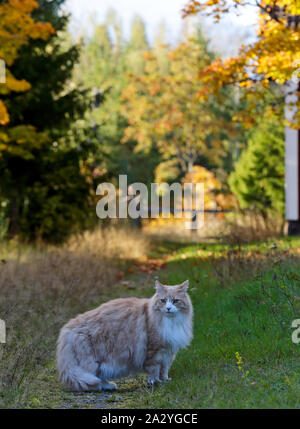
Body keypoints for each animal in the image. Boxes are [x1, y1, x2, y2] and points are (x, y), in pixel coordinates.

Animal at [56, 280, 193, 390]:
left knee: (99, 377)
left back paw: (109, 386)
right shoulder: (154, 351)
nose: (168, 308)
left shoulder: (169, 353)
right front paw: (155, 382)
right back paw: (102, 386)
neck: (170, 322)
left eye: (175, 301)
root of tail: (67, 329)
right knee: (91, 379)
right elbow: (154, 370)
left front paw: (165, 380)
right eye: (163, 301)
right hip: (92, 362)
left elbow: (164, 370)